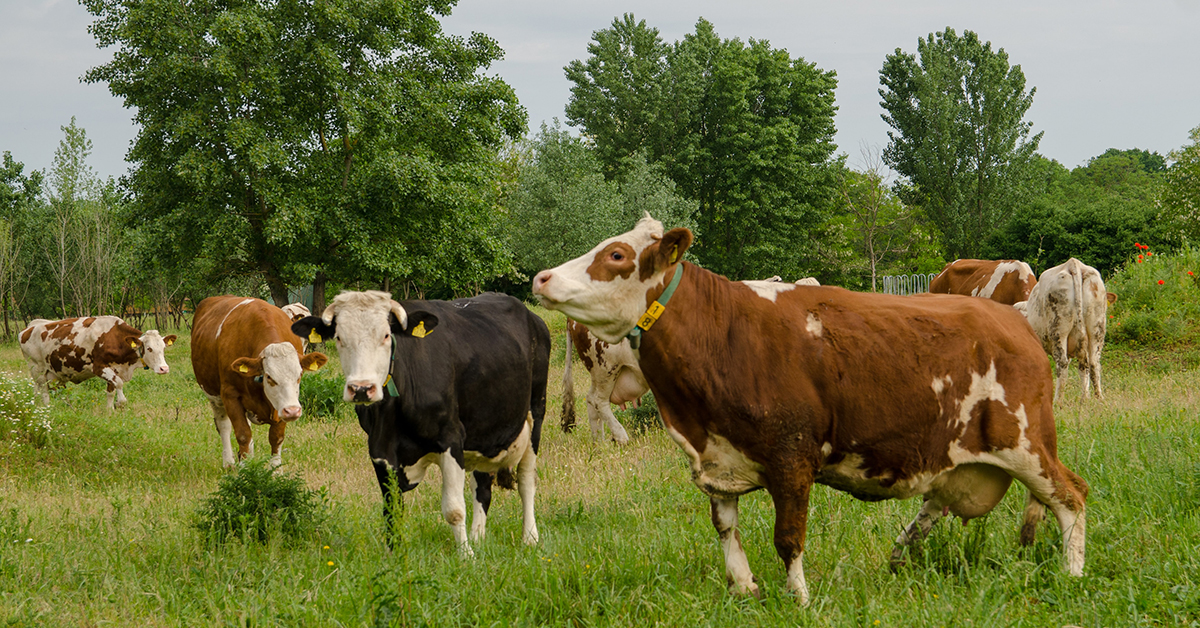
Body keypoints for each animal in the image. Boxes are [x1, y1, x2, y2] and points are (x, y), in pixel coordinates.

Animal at [18, 317, 176, 410]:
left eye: (163, 348)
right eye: (149, 348)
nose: (164, 368)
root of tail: (30, 327)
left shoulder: (115, 369)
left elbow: (111, 390)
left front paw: (110, 411)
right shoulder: (99, 367)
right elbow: (119, 384)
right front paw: (120, 403)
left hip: (51, 373)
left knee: (42, 389)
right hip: (37, 369)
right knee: (44, 391)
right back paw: (47, 407)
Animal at [292, 290, 549, 554]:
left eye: (386, 335)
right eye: (339, 338)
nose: (361, 389)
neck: (391, 415)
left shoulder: (451, 438)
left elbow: (454, 509)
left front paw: (466, 555)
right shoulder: (379, 449)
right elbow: (392, 509)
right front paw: (393, 554)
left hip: (535, 413)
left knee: (527, 481)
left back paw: (530, 537)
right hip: (484, 428)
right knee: (483, 486)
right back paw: (478, 537)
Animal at [535, 214, 1089, 605]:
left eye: (616, 254)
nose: (541, 278)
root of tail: (1015, 323)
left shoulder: (792, 456)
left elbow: (788, 537)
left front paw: (798, 598)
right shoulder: (717, 459)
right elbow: (726, 529)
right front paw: (744, 589)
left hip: (1026, 442)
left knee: (1071, 495)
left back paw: (1072, 573)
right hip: (958, 454)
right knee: (937, 503)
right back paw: (898, 555)